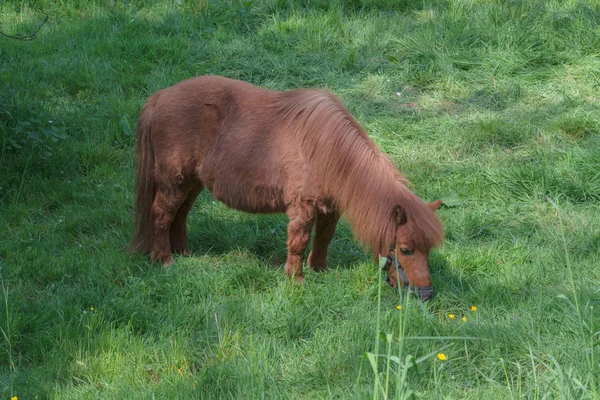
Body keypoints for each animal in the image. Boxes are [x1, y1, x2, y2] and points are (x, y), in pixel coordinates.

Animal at [129, 75, 442, 300]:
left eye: (428, 249)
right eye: (405, 249)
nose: (426, 294)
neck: (327, 150)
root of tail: (159, 98)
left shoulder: (330, 210)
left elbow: (323, 239)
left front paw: (320, 271)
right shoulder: (303, 208)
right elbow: (299, 242)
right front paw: (296, 279)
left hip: (192, 182)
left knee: (179, 216)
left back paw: (184, 253)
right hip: (175, 182)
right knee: (162, 215)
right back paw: (165, 260)